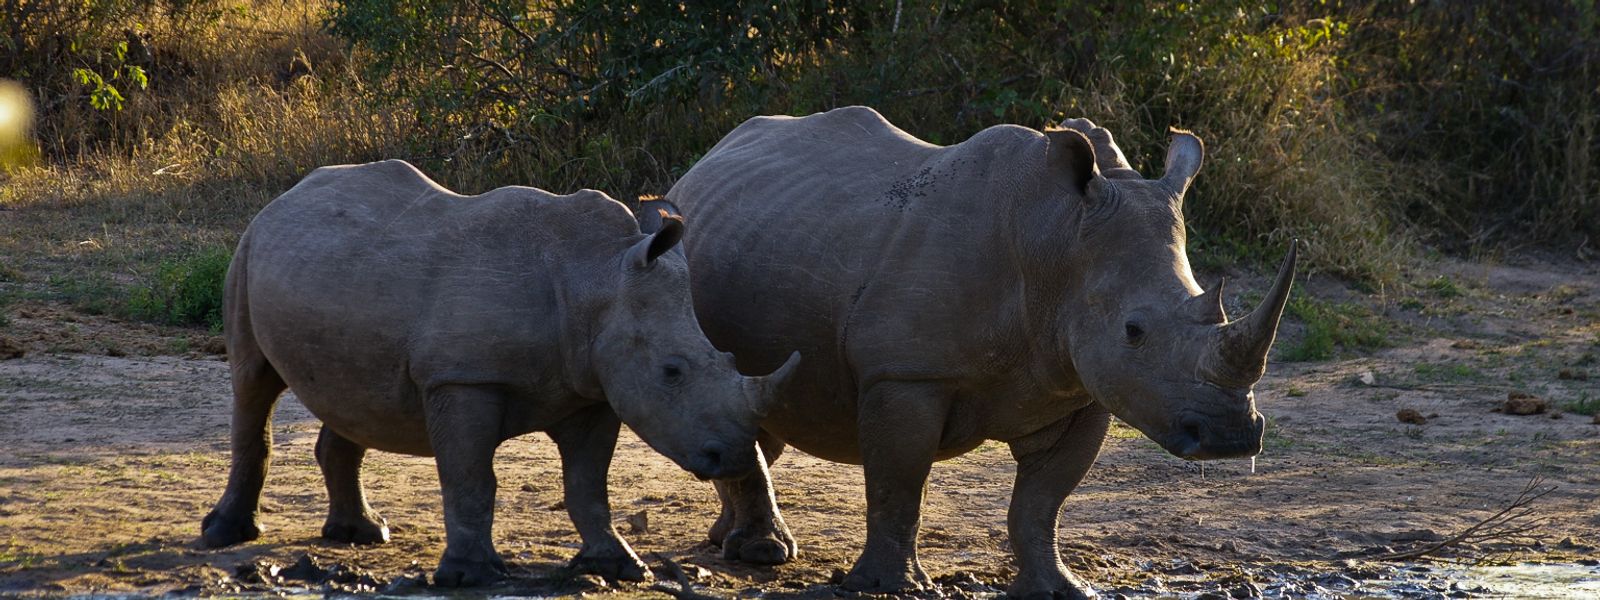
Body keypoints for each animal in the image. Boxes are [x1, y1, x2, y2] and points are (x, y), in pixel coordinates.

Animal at [199, 159, 799, 587]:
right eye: (672, 371)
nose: (734, 455)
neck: (594, 278)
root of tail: (288, 195)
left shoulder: (594, 389)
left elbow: (588, 484)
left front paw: (619, 567)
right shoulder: (463, 377)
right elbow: (471, 478)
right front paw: (470, 575)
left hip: (335, 272)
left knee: (352, 396)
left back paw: (362, 536)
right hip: (247, 251)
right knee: (254, 384)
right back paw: (225, 535)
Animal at [647, 107, 1295, 598]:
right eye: (1134, 331)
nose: (1233, 437)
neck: (1056, 241)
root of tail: (702, 165)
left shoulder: (1082, 387)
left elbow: (1042, 501)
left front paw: (1059, 589)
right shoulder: (905, 375)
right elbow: (898, 485)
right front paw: (890, 588)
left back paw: (729, 541)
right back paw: (762, 554)